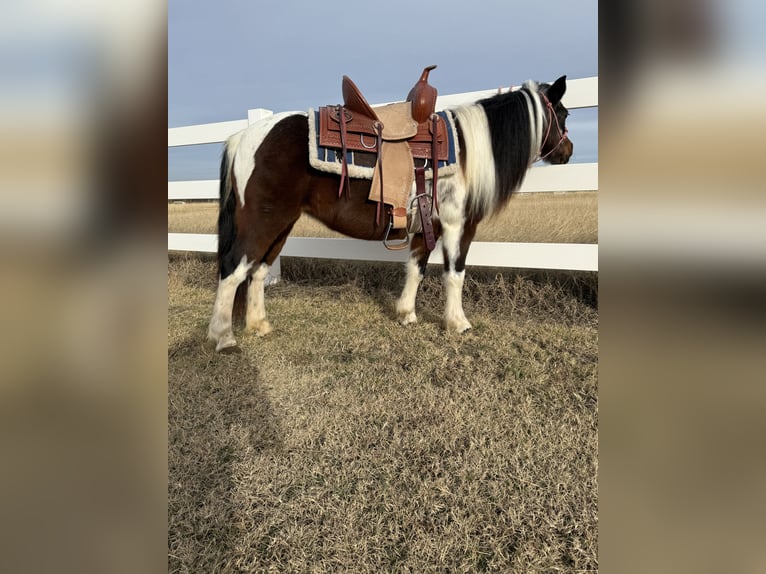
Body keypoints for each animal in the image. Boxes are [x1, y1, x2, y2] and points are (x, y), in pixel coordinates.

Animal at [207, 75, 573, 351]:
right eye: (564, 114)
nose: (568, 152)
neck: (469, 151)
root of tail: (243, 136)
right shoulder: (458, 225)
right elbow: (454, 273)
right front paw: (458, 323)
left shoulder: (428, 224)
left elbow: (416, 269)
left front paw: (406, 314)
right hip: (263, 221)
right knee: (233, 270)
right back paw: (223, 336)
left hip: (282, 224)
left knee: (257, 271)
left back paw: (259, 325)